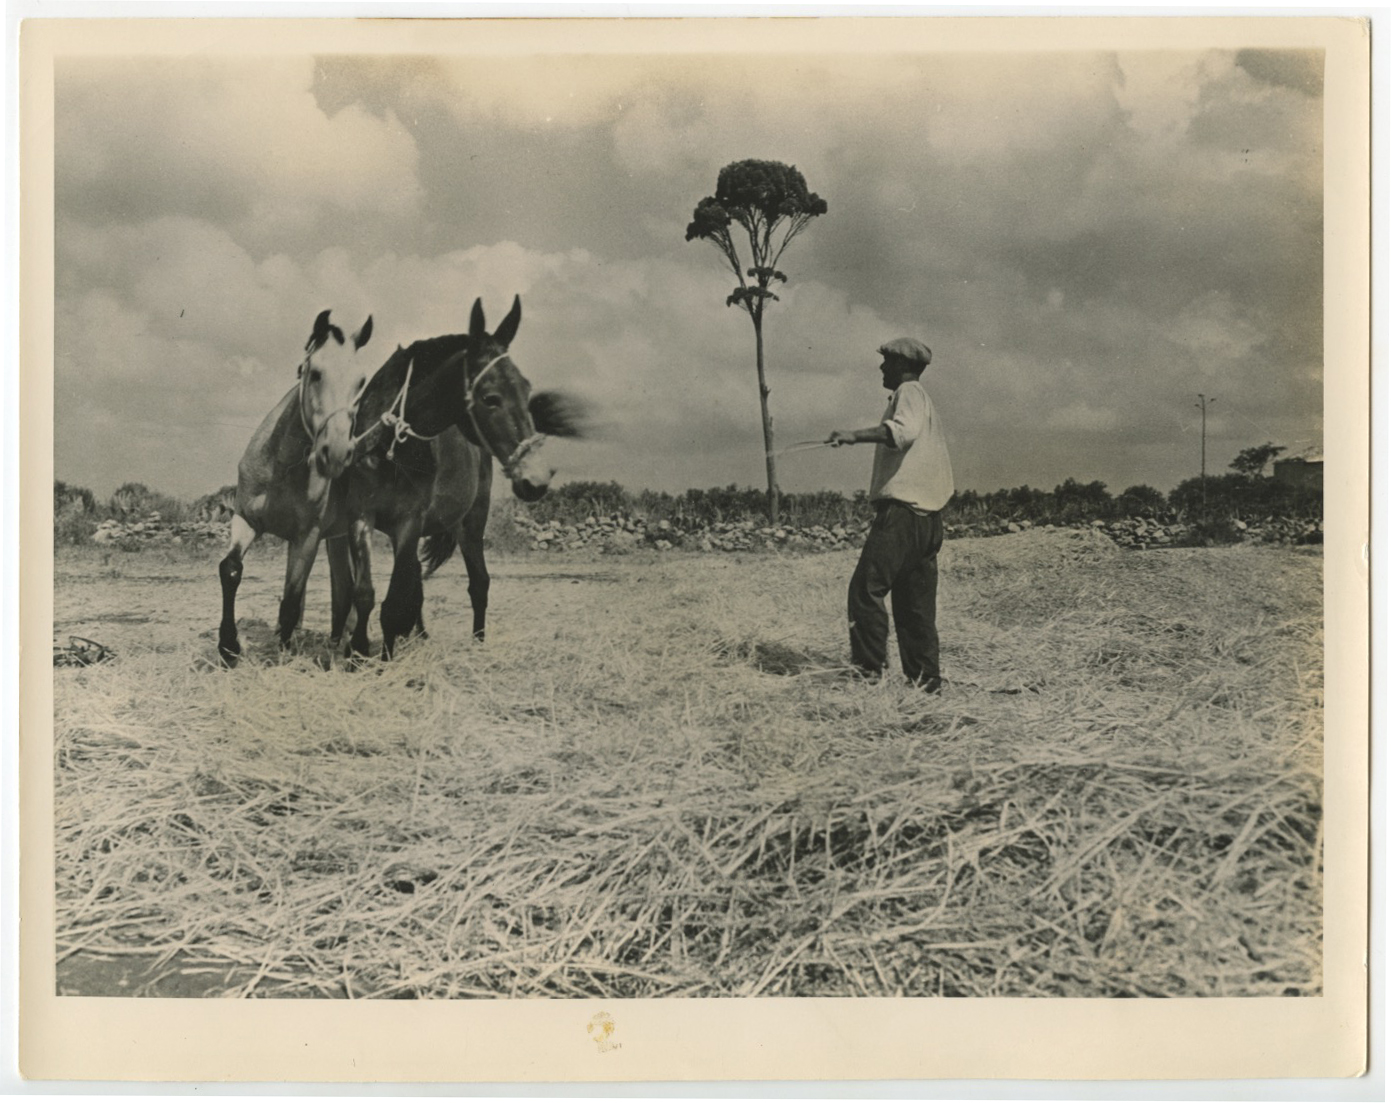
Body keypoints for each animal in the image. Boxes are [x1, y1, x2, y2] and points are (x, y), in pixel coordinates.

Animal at [217, 310, 374, 665]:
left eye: (361, 382)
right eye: (315, 373)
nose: (338, 453)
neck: (282, 468)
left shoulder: (307, 537)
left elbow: (291, 598)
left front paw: (283, 652)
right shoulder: (245, 520)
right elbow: (231, 570)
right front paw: (228, 647)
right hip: (338, 537)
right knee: (344, 587)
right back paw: (336, 639)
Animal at [326, 295, 584, 659]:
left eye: (526, 389)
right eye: (490, 398)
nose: (535, 479)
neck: (390, 444)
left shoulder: (409, 522)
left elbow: (394, 603)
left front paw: (386, 655)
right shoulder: (361, 517)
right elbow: (365, 594)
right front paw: (357, 651)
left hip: (471, 523)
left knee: (478, 583)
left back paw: (477, 641)